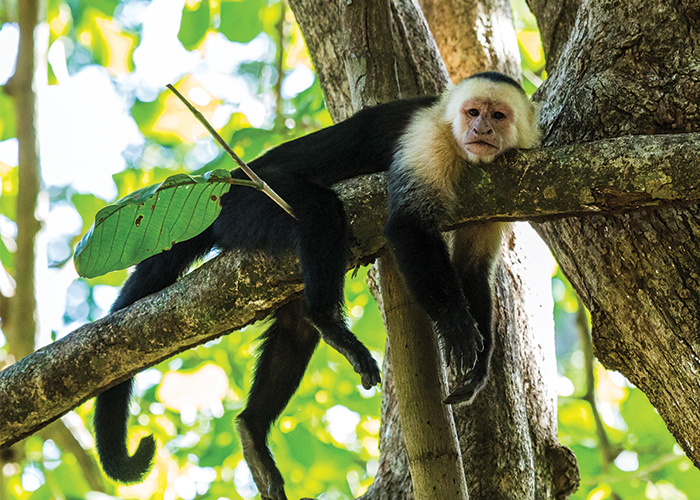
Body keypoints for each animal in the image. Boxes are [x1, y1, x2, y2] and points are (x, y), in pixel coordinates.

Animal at [91, 71, 538, 500]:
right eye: (472, 112)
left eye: (498, 116)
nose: (481, 128)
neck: (463, 153)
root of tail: (227, 181)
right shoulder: (428, 140)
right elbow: (406, 227)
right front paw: (456, 325)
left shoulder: (495, 192)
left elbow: (472, 269)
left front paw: (480, 366)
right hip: (247, 203)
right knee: (320, 210)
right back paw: (330, 322)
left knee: (294, 329)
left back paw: (253, 429)